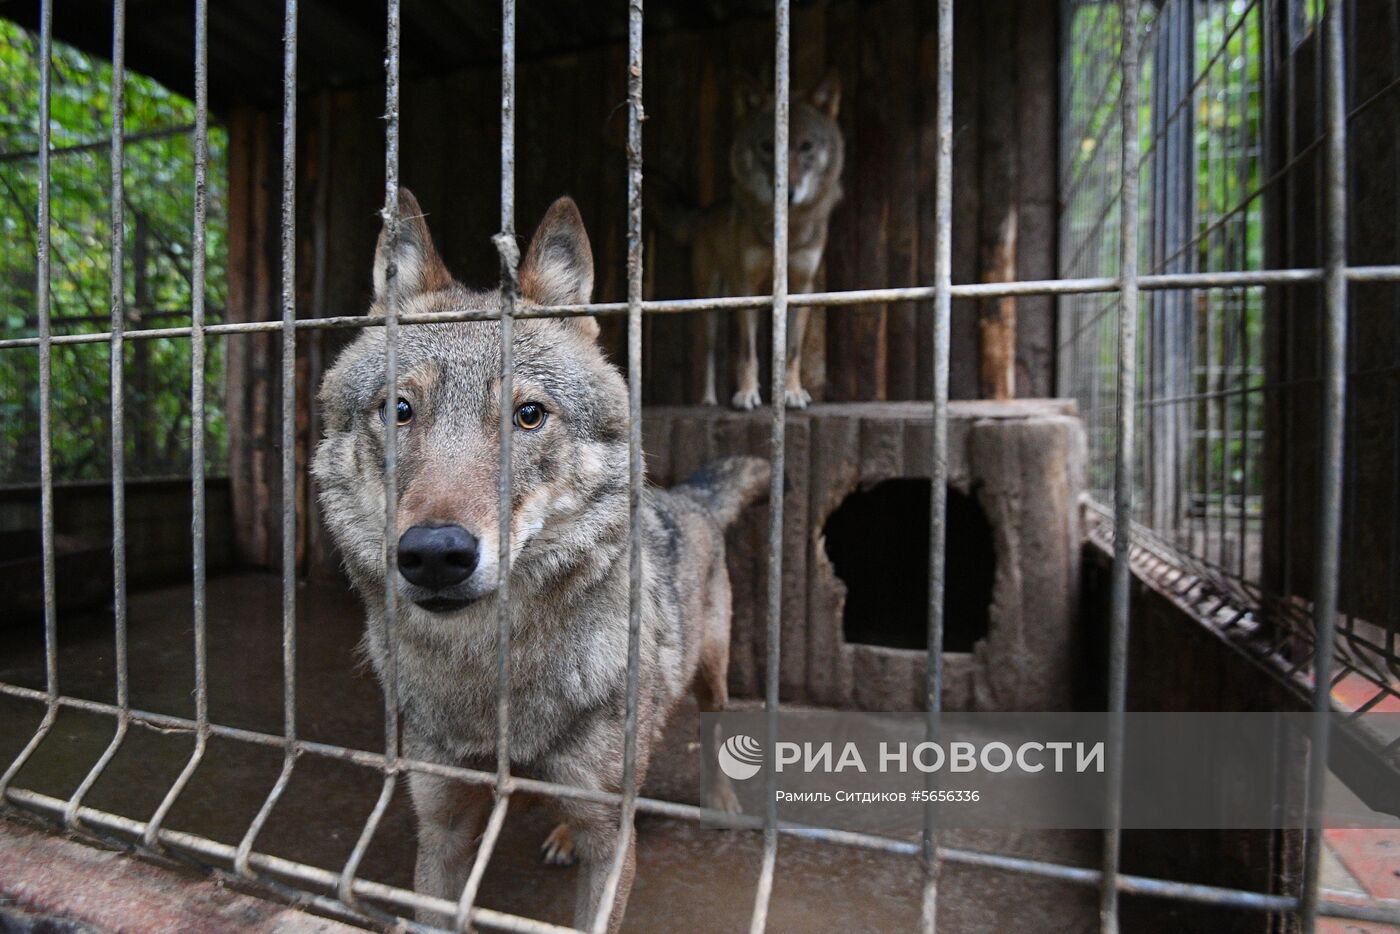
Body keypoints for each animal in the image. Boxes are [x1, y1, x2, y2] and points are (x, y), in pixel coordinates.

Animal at [313, 191, 772, 934]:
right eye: (400, 409)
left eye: (529, 414)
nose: (434, 555)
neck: (488, 680)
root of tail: (688, 497)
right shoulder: (441, 826)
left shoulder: (611, 840)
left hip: (712, 672)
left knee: (714, 727)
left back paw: (722, 808)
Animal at [663, 67, 845, 411]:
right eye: (767, 146)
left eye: (806, 146)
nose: (787, 193)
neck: (788, 231)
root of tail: (704, 212)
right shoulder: (744, 284)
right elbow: (747, 352)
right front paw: (747, 394)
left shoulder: (802, 286)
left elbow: (792, 350)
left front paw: (792, 392)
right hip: (713, 301)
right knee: (710, 351)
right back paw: (708, 400)